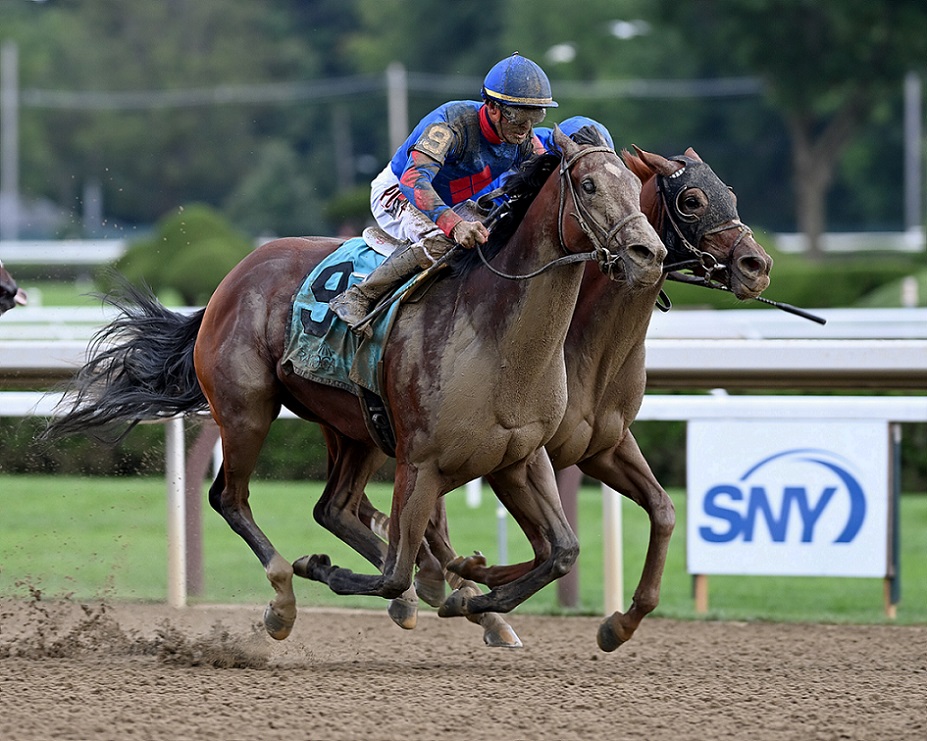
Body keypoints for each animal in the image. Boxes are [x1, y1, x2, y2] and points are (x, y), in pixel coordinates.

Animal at [45, 127, 667, 642]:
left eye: (633, 190)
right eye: (588, 184)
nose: (649, 253)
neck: (494, 336)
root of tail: (230, 280)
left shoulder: (518, 455)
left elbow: (560, 551)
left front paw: (473, 594)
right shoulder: (422, 462)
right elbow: (395, 571)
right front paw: (333, 569)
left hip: (355, 428)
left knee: (334, 508)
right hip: (248, 411)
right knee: (232, 497)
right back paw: (285, 597)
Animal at [319, 140, 773, 650]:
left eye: (731, 194)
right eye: (691, 200)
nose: (757, 265)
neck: (584, 343)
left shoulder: (601, 446)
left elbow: (661, 512)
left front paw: (619, 623)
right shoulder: (506, 453)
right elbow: (539, 546)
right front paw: (470, 580)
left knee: (354, 505)